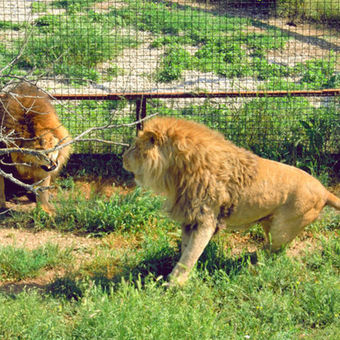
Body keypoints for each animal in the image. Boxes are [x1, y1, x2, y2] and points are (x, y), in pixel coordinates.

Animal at [0, 81, 71, 215]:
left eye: (53, 146)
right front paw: (2, 207)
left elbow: (43, 189)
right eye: (39, 151)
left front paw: (45, 210)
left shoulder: (43, 171)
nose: (51, 162)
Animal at [123, 118, 340, 286]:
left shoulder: (206, 220)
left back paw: (250, 265)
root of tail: (324, 190)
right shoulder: (190, 217)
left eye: (135, 146)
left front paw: (173, 284)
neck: (177, 172)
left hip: (283, 228)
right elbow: (185, 249)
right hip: (270, 223)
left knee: (272, 252)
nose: (122, 157)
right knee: (276, 251)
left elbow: (190, 255)